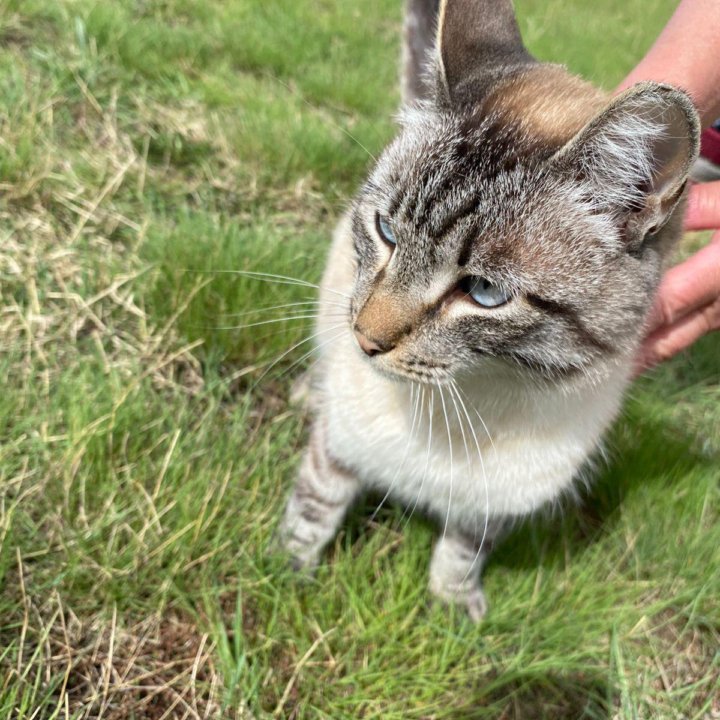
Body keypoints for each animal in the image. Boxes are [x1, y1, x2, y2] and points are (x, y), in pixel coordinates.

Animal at [276, 0, 696, 620]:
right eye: (386, 232)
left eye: (483, 293)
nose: (366, 340)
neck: (461, 401)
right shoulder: (338, 446)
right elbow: (314, 507)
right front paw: (283, 578)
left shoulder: (495, 503)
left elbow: (462, 551)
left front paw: (452, 613)